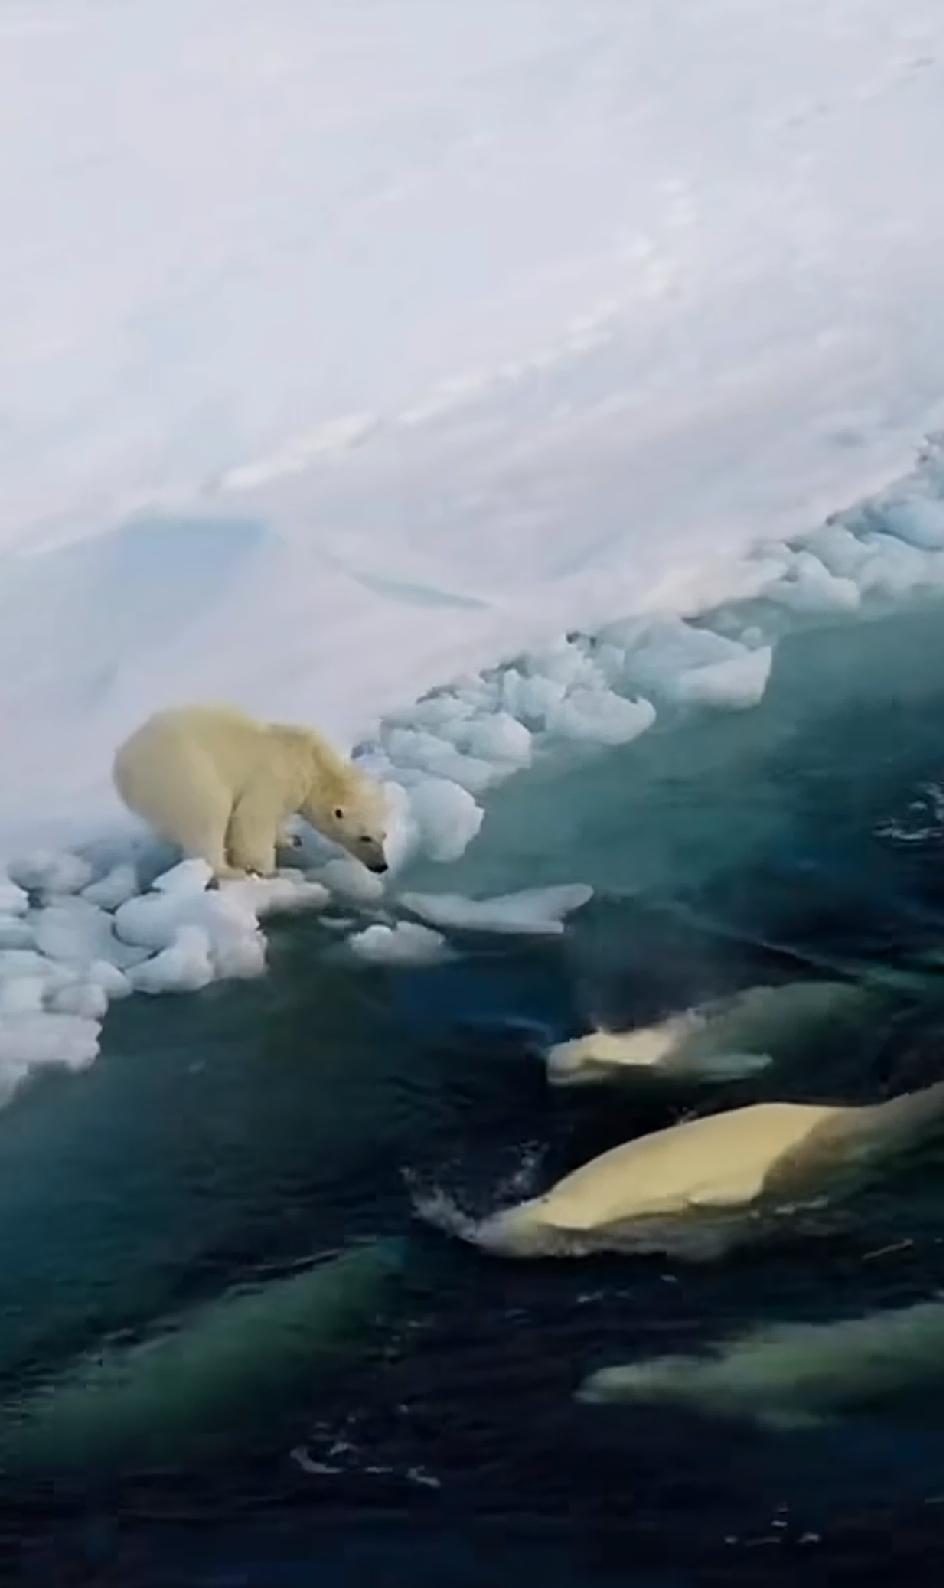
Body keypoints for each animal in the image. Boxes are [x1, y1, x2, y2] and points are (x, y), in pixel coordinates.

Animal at [113, 704, 388, 882]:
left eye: (384, 835)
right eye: (365, 837)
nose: (382, 867)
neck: (311, 762)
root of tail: (123, 768)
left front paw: (290, 838)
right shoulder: (274, 778)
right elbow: (253, 820)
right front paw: (266, 870)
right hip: (184, 774)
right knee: (208, 816)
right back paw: (229, 871)